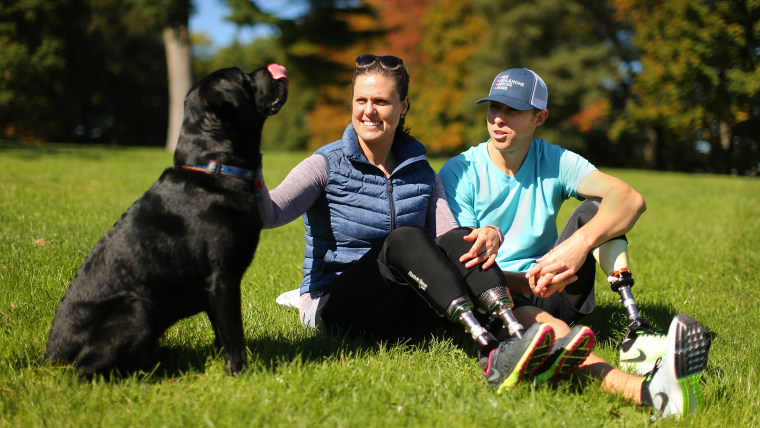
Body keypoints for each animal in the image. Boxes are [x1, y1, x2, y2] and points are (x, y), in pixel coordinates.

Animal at [44, 62, 288, 374]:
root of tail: (51, 356)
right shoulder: (222, 277)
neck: (214, 167)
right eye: (245, 79)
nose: (274, 68)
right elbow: (234, 334)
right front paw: (240, 372)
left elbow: (221, 332)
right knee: (85, 370)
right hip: (136, 309)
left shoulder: (213, 288)